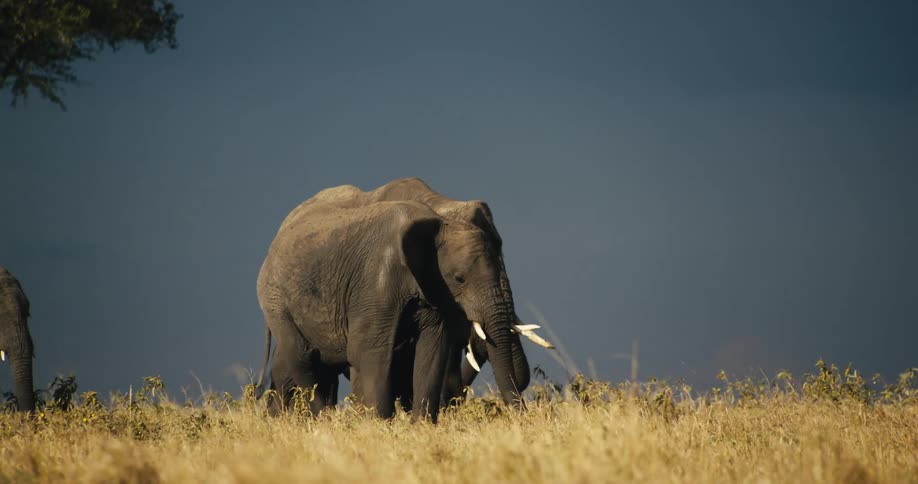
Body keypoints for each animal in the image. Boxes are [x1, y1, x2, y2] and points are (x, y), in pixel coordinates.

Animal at [254, 179, 554, 415]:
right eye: (459, 279)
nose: (522, 415)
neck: (439, 210)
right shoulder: (374, 283)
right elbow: (368, 354)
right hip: (276, 299)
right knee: (302, 359)